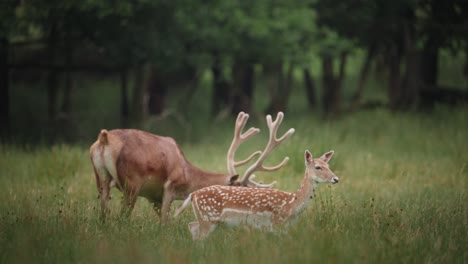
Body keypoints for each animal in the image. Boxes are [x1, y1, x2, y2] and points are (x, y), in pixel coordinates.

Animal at [89, 111, 294, 223]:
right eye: (240, 190)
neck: (187, 176)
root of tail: (104, 138)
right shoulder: (170, 184)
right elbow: (165, 221)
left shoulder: (153, 196)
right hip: (132, 180)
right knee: (122, 216)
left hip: (101, 179)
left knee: (103, 212)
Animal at [174, 150, 338, 240]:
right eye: (318, 167)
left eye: (328, 165)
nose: (336, 179)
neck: (291, 204)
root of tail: (193, 194)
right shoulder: (276, 224)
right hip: (207, 218)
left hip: (206, 219)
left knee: (192, 226)